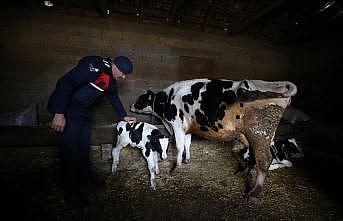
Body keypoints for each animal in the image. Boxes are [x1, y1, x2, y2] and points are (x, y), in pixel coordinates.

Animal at [130, 78, 296, 199]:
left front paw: (176, 167)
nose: (131, 106)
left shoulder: (177, 124)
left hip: (260, 133)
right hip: (250, 135)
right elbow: (187, 145)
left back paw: (254, 193)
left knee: (264, 160)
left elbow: (179, 146)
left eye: (141, 99)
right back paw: (243, 173)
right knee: (254, 156)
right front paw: (187, 160)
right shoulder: (187, 127)